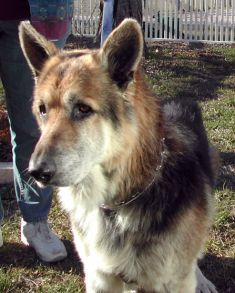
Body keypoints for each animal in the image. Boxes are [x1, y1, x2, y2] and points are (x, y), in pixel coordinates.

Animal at [19, 19, 219, 290]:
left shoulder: (170, 281)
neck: (118, 204)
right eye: (43, 110)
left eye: (83, 109)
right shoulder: (99, 277)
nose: (36, 172)